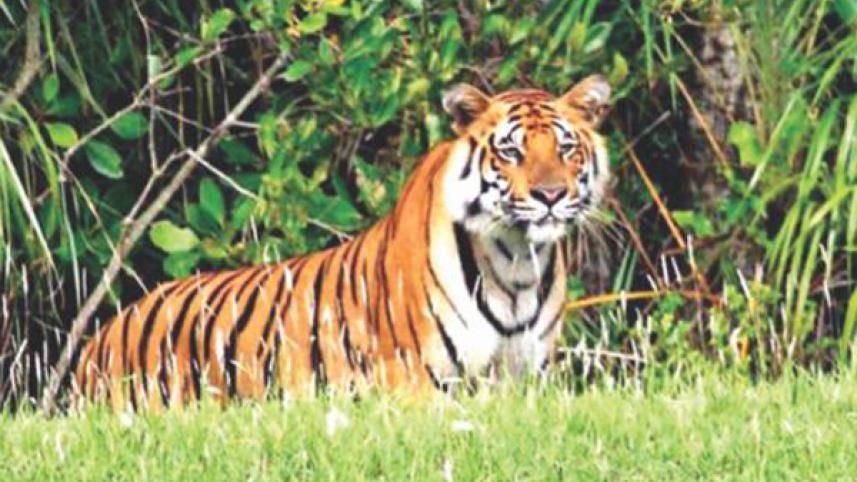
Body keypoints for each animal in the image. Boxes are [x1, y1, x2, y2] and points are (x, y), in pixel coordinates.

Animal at [73, 75, 611, 410]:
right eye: (511, 152)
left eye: (565, 148)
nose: (550, 195)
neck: (515, 262)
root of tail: (96, 340)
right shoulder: (414, 383)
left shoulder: (525, 382)